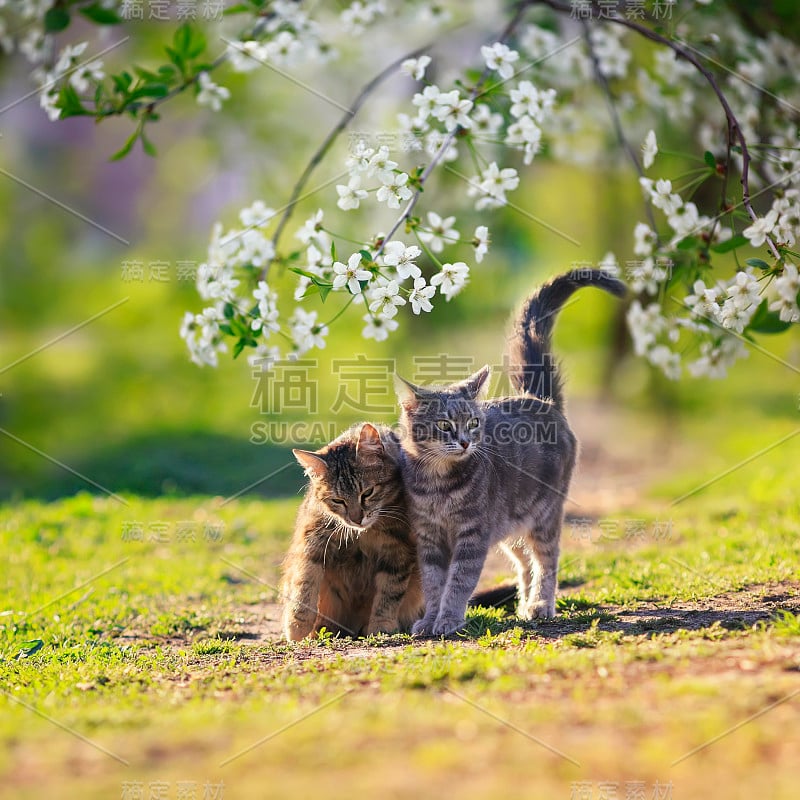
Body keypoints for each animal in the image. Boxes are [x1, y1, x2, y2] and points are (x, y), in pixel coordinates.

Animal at [280, 422, 422, 640]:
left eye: (368, 493)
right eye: (338, 500)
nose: (356, 519)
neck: (364, 533)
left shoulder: (399, 548)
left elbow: (390, 592)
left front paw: (382, 624)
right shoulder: (312, 540)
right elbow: (304, 583)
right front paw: (297, 625)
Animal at [396, 272, 624, 636]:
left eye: (473, 423)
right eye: (445, 425)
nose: (465, 442)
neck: (438, 484)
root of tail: (539, 399)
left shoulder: (472, 535)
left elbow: (458, 582)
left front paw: (448, 619)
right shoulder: (428, 538)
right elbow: (433, 584)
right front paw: (430, 619)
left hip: (544, 516)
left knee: (546, 561)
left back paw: (541, 604)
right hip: (510, 528)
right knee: (525, 565)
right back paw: (523, 605)